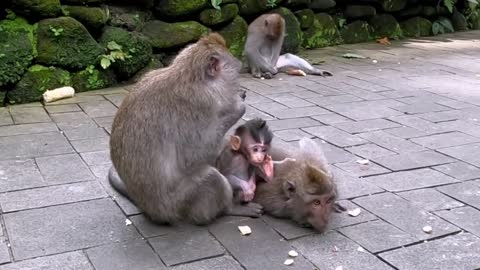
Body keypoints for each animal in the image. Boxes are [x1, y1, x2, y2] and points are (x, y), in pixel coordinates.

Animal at [108, 32, 262, 226]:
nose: (240, 89)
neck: (191, 77)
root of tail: (150, 210)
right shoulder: (201, 106)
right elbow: (193, 156)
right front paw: (237, 106)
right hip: (178, 203)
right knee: (211, 177)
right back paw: (230, 209)